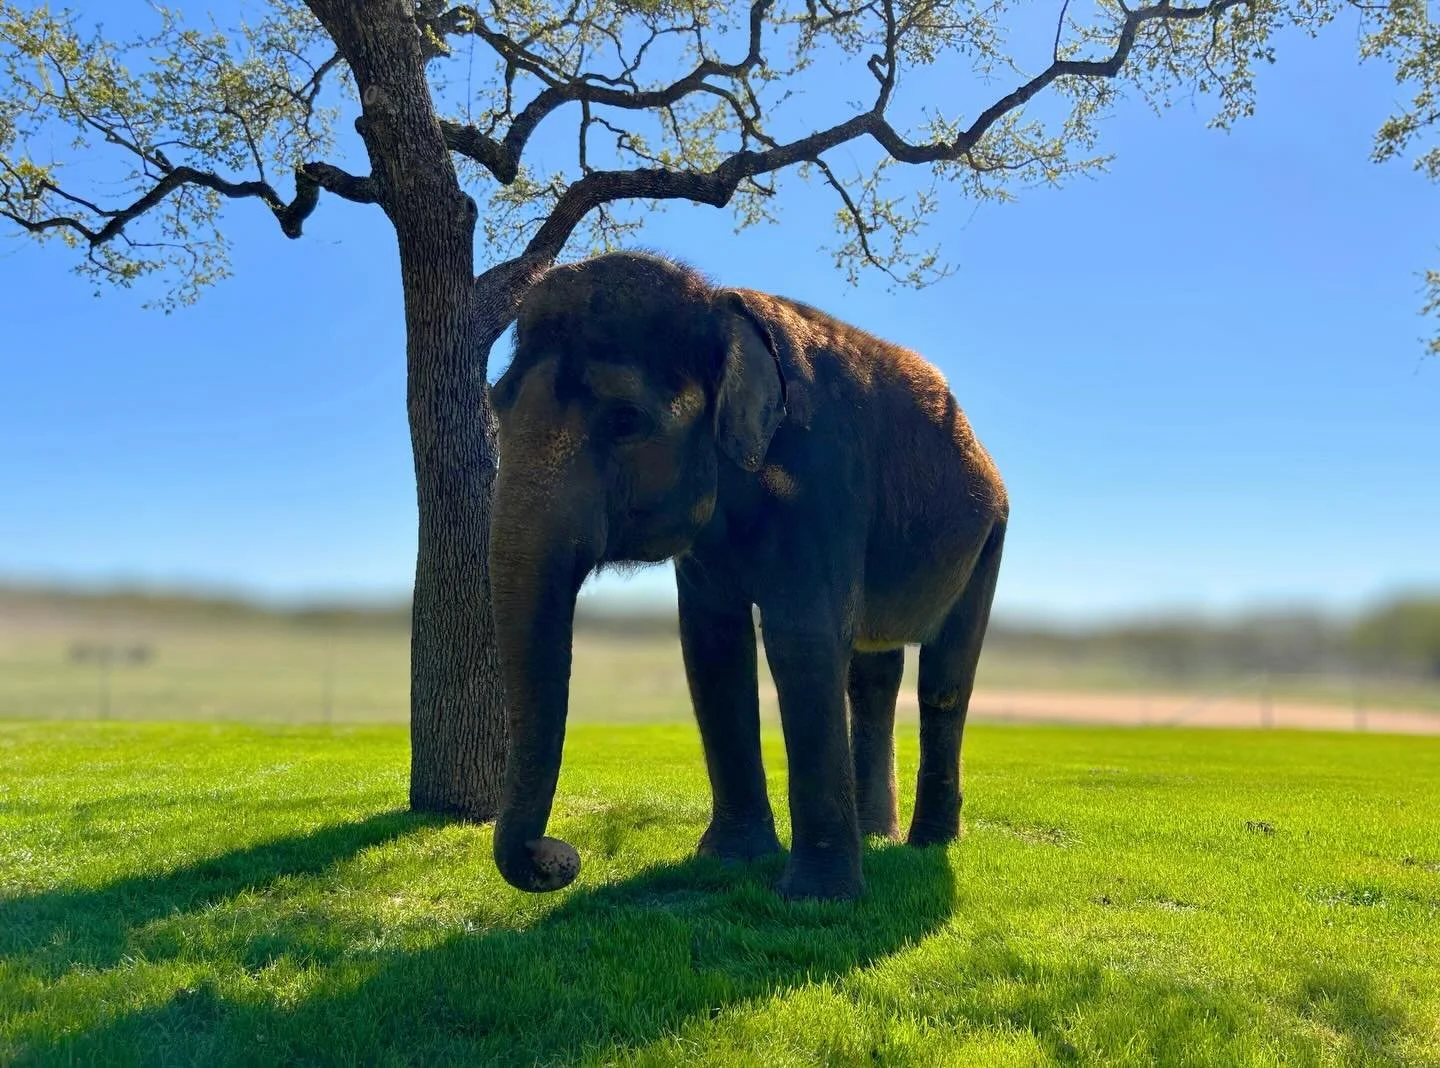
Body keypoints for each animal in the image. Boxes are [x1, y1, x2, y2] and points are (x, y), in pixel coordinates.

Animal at [489, 251, 1008, 901]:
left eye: (627, 420)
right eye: (495, 404)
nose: (558, 858)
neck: (722, 307)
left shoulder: (826, 478)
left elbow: (802, 642)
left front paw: (818, 899)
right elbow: (712, 647)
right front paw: (731, 861)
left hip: (989, 538)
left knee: (944, 679)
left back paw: (927, 845)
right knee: (872, 673)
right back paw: (879, 836)